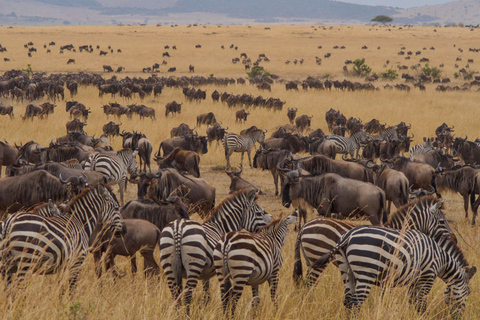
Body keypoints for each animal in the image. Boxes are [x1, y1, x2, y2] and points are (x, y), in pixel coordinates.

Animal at [314, 226, 474, 318]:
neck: (441, 258)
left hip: (346, 270)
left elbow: (412, 301)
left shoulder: (414, 280)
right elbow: (421, 304)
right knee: (356, 303)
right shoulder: (427, 276)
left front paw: (412, 316)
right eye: (468, 293)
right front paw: (422, 317)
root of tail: (348, 235)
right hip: (366, 272)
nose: (458, 318)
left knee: (348, 302)